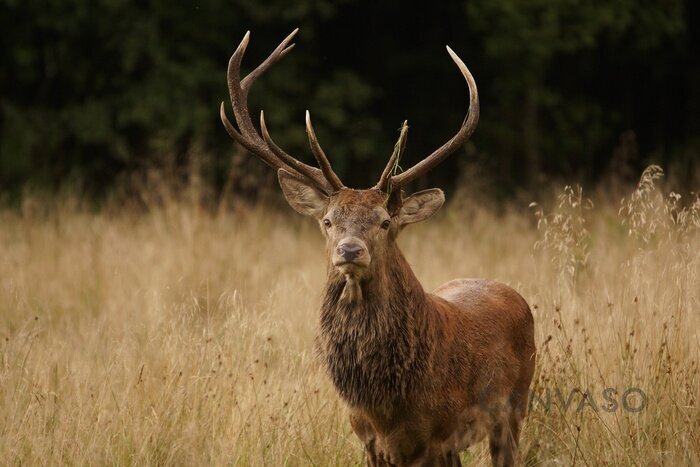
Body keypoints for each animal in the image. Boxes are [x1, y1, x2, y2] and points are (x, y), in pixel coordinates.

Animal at [219, 28, 536, 464]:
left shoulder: (436, 435)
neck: (384, 405)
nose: (350, 251)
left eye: (385, 222)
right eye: (328, 221)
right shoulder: (366, 437)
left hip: (515, 406)